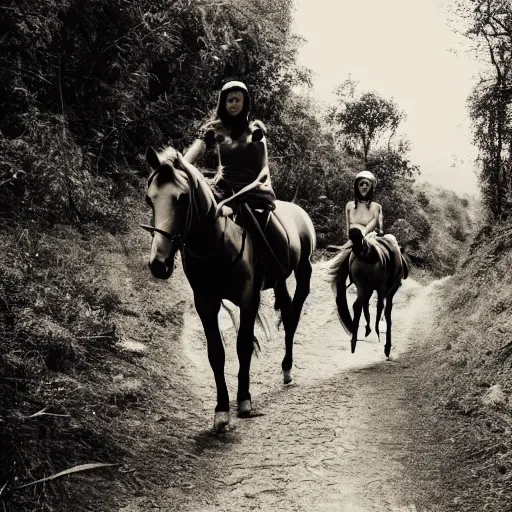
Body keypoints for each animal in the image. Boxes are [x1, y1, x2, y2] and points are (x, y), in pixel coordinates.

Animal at [141, 145, 316, 432]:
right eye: (149, 199)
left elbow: (243, 345)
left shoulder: (248, 298)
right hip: (279, 281)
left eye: (182, 198)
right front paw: (221, 410)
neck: (217, 243)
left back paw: (287, 369)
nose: (159, 264)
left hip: (303, 272)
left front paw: (244, 400)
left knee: (292, 319)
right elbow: (216, 353)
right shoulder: (205, 303)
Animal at [336, 227, 408, 356]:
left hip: (362, 285)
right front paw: (387, 346)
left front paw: (368, 329)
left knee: (357, 305)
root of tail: (364, 250)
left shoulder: (370, 289)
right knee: (378, 306)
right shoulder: (388, 291)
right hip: (377, 287)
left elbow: (367, 305)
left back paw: (354, 339)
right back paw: (373, 333)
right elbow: (386, 312)